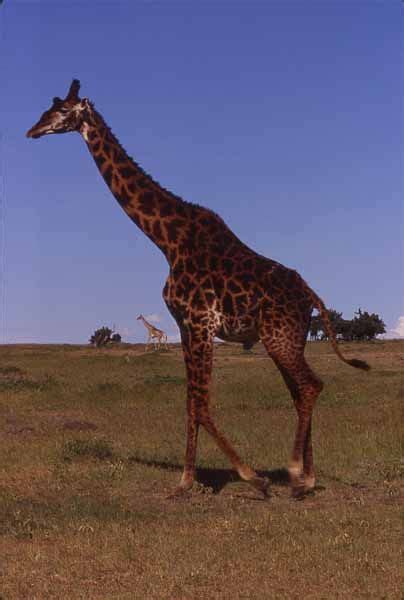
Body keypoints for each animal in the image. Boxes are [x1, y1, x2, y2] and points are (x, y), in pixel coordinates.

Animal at [26, 81, 370, 502]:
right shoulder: (184, 325)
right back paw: (306, 477)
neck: (166, 241)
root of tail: (312, 296)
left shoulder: (201, 321)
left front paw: (252, 478)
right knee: (301, 390)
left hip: (279, 336)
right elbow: (190, 403)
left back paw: (296, 475)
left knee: (310, 385)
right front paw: (186, 480)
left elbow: (202, 405)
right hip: (290, 337)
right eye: (49, 107)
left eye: (62, 111)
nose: (32, 130)